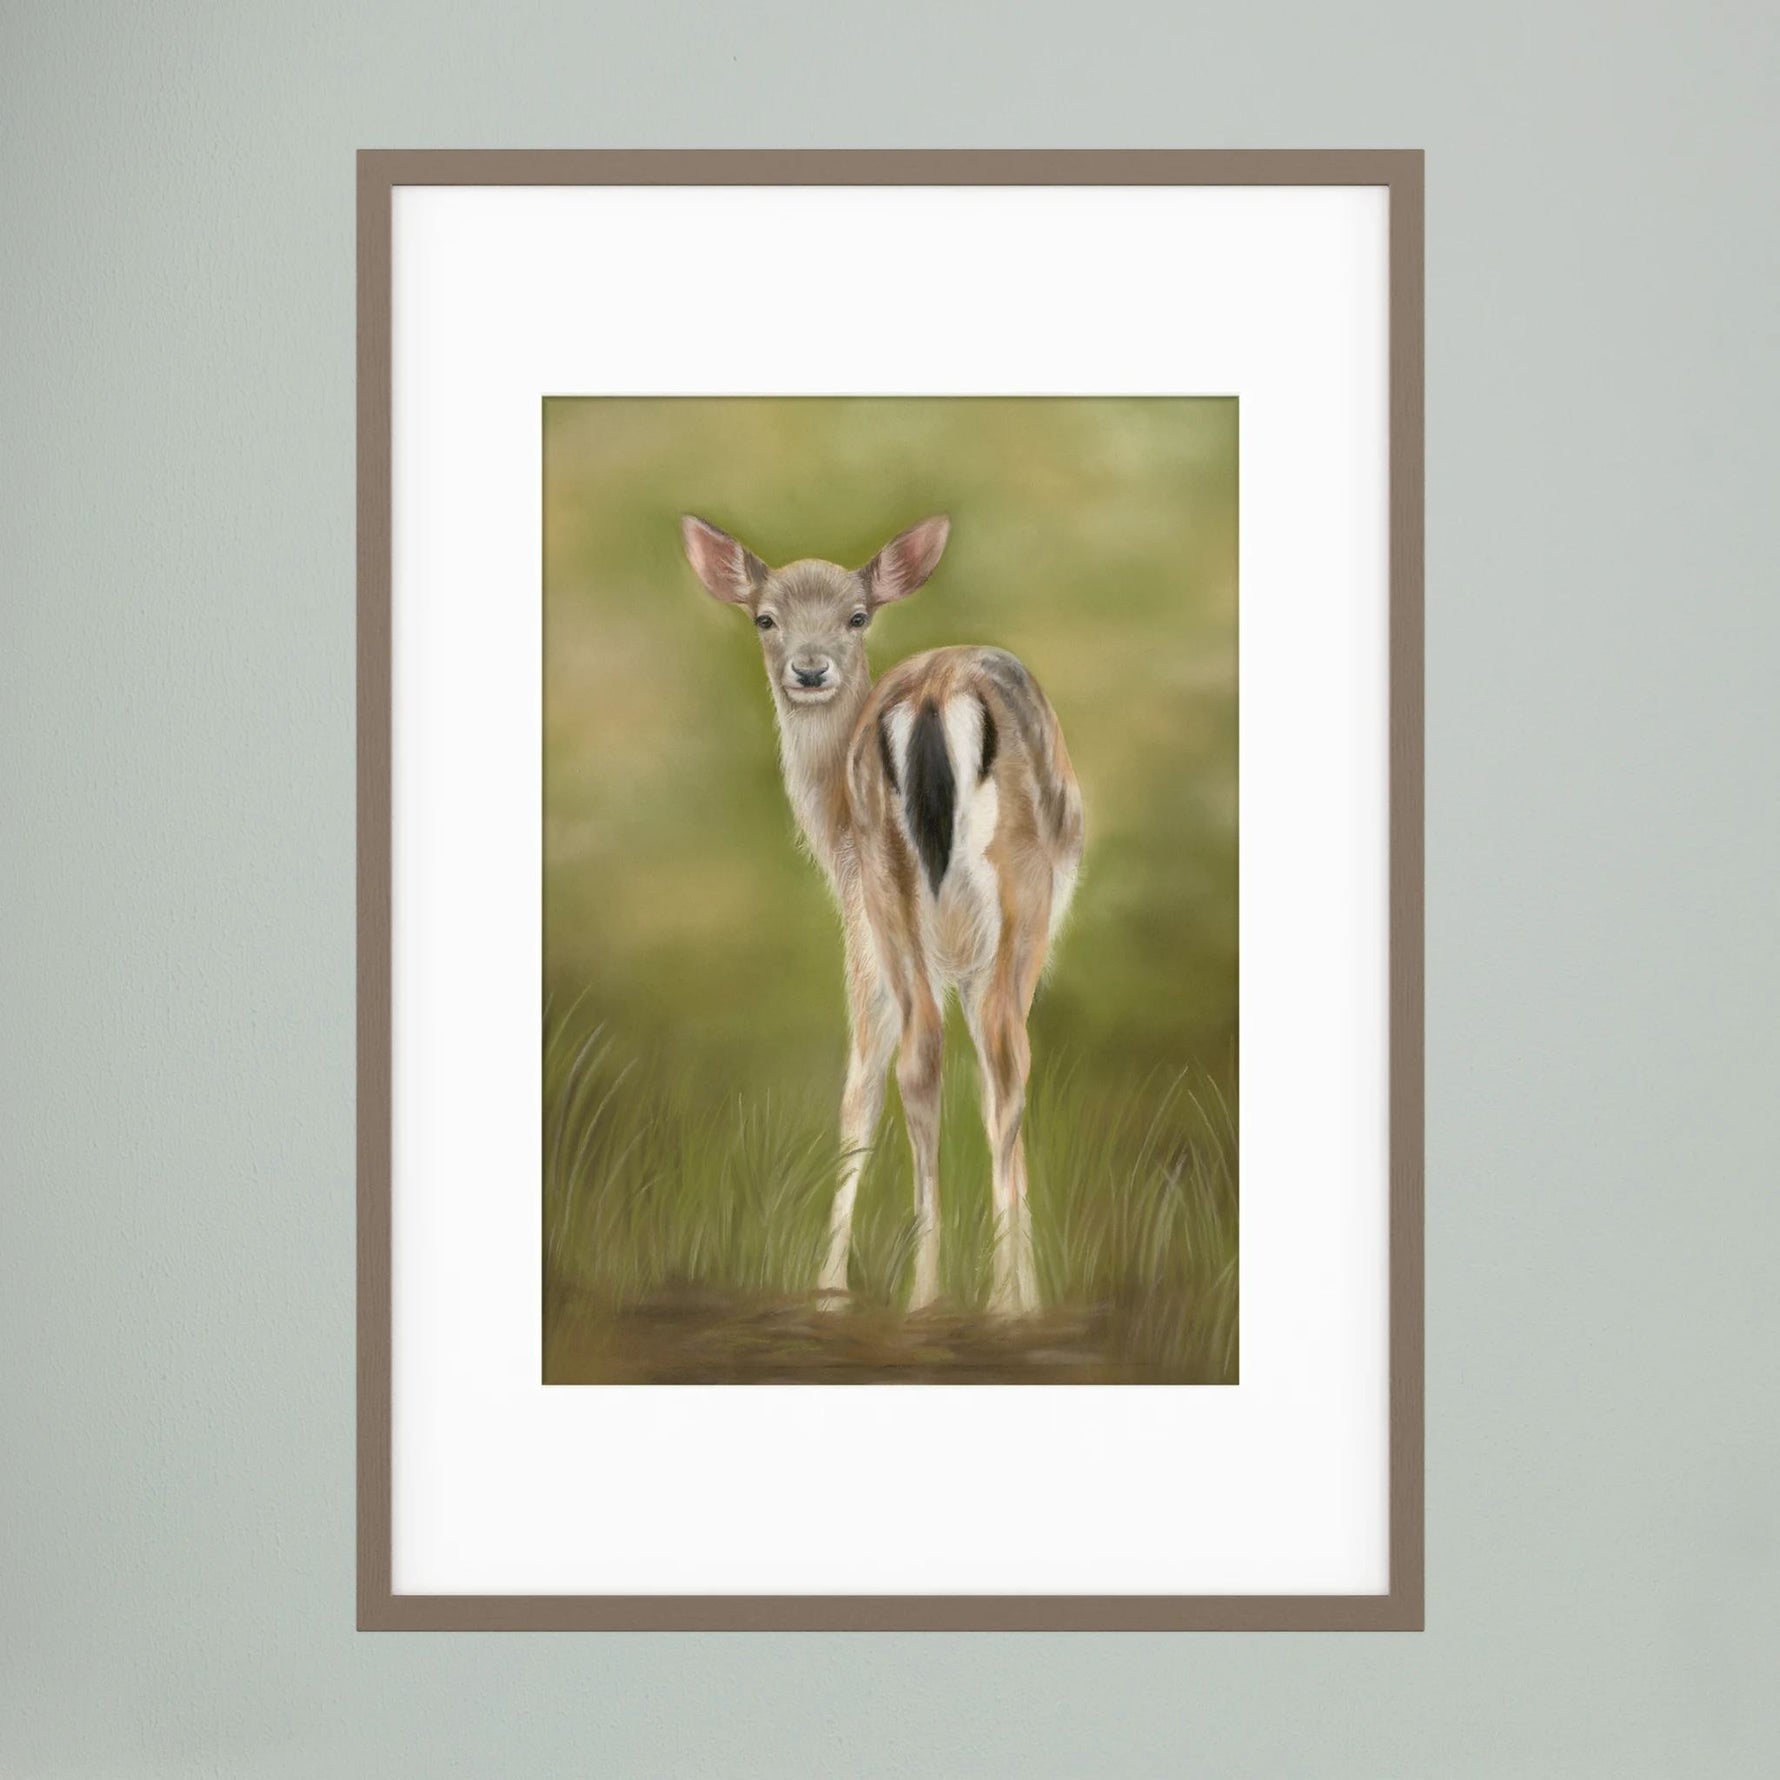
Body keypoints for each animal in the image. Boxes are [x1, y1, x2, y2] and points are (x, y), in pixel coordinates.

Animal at [680, 514, 1084, 1316]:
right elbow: (878, 1087)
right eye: (764, 617)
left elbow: (872, 1084)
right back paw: (984, 1301)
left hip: (897, 886)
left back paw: (932, 1294)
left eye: (857, 616)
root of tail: (932, 696)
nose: (809, 671)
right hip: (1003, 895)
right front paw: (834, 1286)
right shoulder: (879, 936)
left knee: (933, 1055)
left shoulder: (879, 929)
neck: (829, 829)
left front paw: (831, 1287)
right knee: (994, 1057)